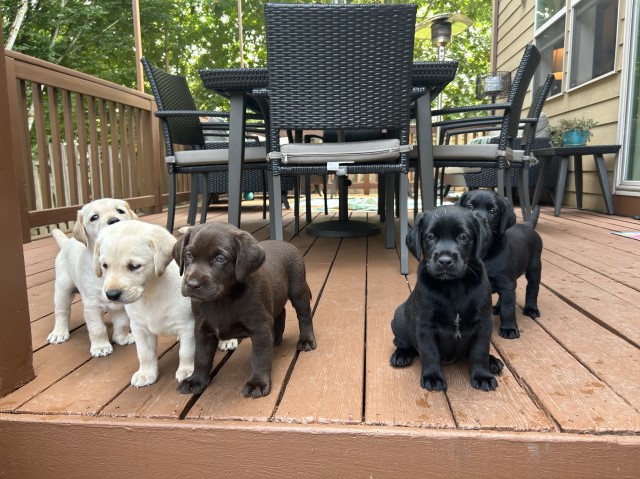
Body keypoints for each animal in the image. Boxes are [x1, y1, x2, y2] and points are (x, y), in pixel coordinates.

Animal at [49, 198, 139, 356]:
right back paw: (59, 332)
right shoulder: (92, 304)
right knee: (61, 311)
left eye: (120, 211)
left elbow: (122, 322)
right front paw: (100, 346)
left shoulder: (120, 300)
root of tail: (67, 242)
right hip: (63, 289)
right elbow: (97, 327)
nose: (114, 221)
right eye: (94, 217)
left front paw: (122, 337)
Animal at [94, 223, 236, 388]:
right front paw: (146, 373)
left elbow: (186, 352)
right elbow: (144, 353)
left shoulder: (187, 325)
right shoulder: (139, 328)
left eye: (134, 266)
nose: (111, 295)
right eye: (104, 265)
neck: (151, 294)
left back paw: (227, 340)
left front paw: (187, 371)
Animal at [390, 205, 504, 390]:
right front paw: (433, 376)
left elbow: (480, 351)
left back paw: (492, 361)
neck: (453, 286)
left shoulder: (484, 321)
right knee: (404, 343)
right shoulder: (425, 324)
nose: (444, 260)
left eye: (463, 237)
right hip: (398, 319)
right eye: (430, 237)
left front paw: (483, 375)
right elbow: (429, 353)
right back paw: (401, 354)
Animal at [458, 189, 544, 340]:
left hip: (534, 267)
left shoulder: (506, 283)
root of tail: (527, 225)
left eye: (493, 211)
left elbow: (508, 309)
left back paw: (531, 309)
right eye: (469, 206)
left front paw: (509, 328)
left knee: (532, 289)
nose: (477, 220)